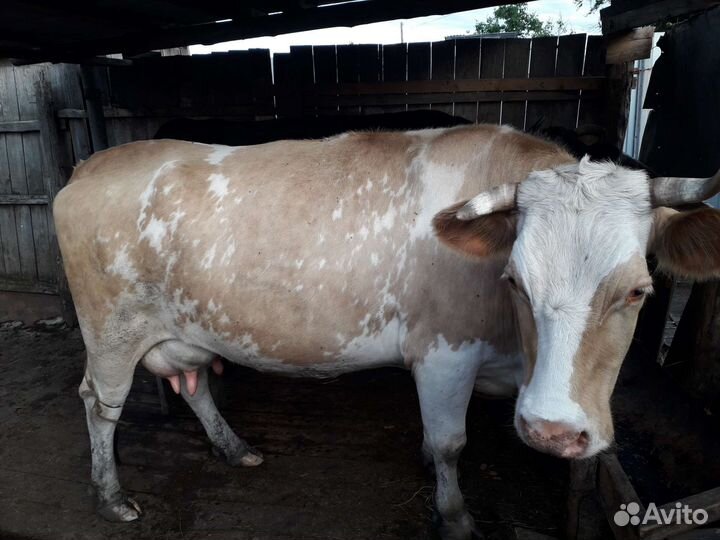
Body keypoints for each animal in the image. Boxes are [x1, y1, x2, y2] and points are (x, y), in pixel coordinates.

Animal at [53, 124, 720, 540]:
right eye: (514, 281)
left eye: (639, 290)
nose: (552, 431)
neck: (518, 357)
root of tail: (94, 164)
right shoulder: (443, 354)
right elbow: (451, 442)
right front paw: (454, 517)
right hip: (111, 331)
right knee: (99, 404)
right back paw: (111, 496)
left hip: (187, 328)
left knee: (195, 387)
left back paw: (234, 447)